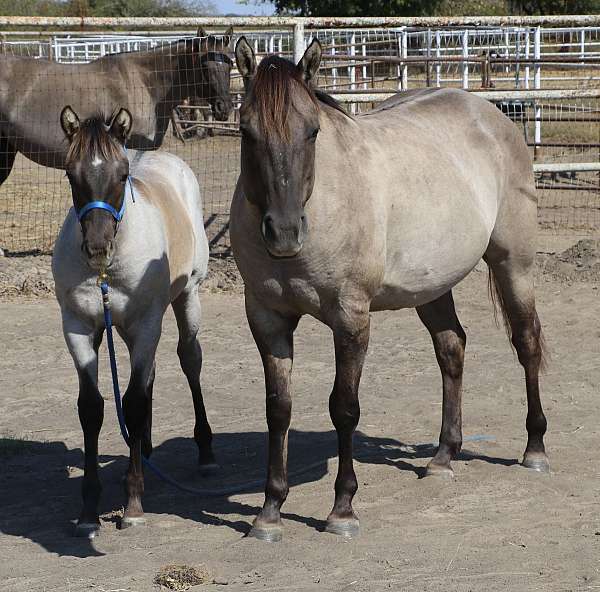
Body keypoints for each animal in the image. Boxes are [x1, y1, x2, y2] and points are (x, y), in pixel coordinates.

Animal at [52, 106, 213, 536]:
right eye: (70, 174)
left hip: (185, 298)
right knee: (151, 374)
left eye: (122, 175)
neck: (107, 272)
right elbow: (92, 408)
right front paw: (88, 510)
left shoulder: (145, 324)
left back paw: (205, 450)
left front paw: (134, 503)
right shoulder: (79, 328)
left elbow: (135, 402)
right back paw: (147, 446)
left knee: (189, 360)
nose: (97, 247)